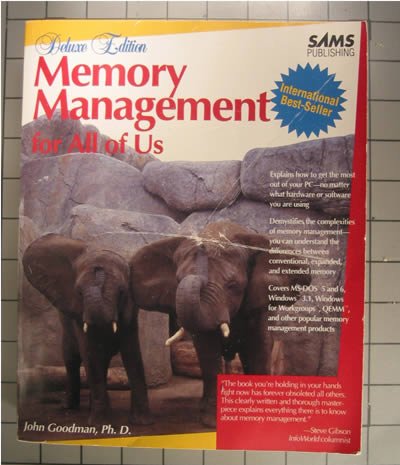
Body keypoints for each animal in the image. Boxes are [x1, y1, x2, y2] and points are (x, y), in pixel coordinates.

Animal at [22, 233, 151, 427]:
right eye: (79, 292)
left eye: (122, 291)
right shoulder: (77, 313)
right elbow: (91, 354)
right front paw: (100, 424)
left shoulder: (130, 312)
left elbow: (132, 354)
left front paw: (141, 421)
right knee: (71, 358)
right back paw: (69, 407)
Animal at [130, 221, 311, 427]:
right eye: (178, 280)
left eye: (233, 285)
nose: (201, 246)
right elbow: (208, 351)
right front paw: (211, 421)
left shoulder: (259, 304)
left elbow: (259, 347)